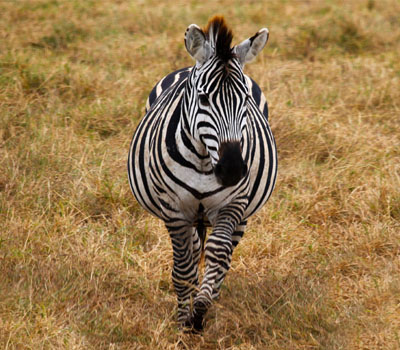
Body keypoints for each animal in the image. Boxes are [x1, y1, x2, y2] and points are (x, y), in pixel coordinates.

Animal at [126, 15, 276, 330]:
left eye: (245, 100)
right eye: (204, 99)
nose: (233, 170)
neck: (205, 162)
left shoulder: (232, 204)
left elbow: (218, 254)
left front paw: (202, 307)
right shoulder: (174, 208)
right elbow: (183, 266)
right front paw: (184, 318)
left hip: (242, 212)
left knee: (225, 251)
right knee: (194, 248)